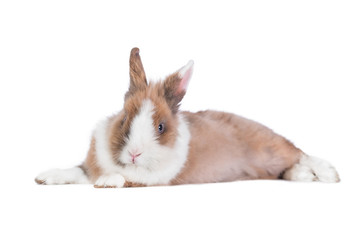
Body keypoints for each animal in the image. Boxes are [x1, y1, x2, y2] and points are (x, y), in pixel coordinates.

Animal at [35, 47, 340, 188]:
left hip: (273, 149)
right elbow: (77, 171)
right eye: (123, 121)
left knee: (299, 153)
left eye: (160, 127)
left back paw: (327, 174)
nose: (134, 154)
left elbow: (126, 178)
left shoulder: (152, 179)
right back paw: (304, 176)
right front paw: (45, 177)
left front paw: (108, 181)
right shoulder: (90, 165)